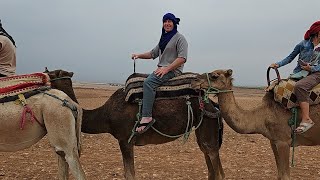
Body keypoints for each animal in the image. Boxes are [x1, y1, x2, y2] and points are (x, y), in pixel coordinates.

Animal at [48, 69, 225, 180]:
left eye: (51, 75)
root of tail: (213, 105)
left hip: (208, 125)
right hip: (202, 128)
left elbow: (130, 174)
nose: (44, 73)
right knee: (208, 160)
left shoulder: (125, 140)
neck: (106, 115)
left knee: (215, 162)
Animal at [190, 68, 320, 179]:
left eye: (214, 75)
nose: (194, 81)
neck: (262, 115)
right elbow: (279, 174)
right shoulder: (274, 141)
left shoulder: (284, 141)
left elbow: (285, 176)